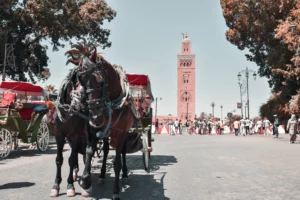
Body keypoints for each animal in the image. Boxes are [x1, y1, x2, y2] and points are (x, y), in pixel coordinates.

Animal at [65, 41, 137, 200]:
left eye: (99, 78)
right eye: (80, 80)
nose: (95, 114)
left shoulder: (121, 132)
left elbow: (117, 161)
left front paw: (116, 190)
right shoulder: (95, 129)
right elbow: (89, 151)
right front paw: (86, 181)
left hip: (123, 133)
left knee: (123, 151)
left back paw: (125, 173)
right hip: (105, 133)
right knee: (104, 150)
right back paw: (102, 175)